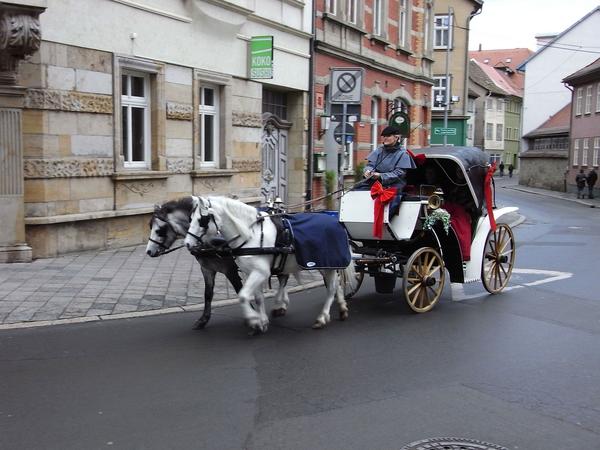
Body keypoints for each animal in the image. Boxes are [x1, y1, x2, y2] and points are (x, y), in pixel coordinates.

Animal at [183, 197, 352, 334]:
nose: (187, 244)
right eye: (190, 218)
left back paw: (322, 318)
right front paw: (262, 321)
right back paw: (342, 308)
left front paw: (253, 320)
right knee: (336, 285)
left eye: (201, 220)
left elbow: (243, 296)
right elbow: (258, 298)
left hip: (326, 265)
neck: (252, 235)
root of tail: (336, 221)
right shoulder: (249, 272)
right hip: (327, 266)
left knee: (331, 289)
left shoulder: (260, 272)